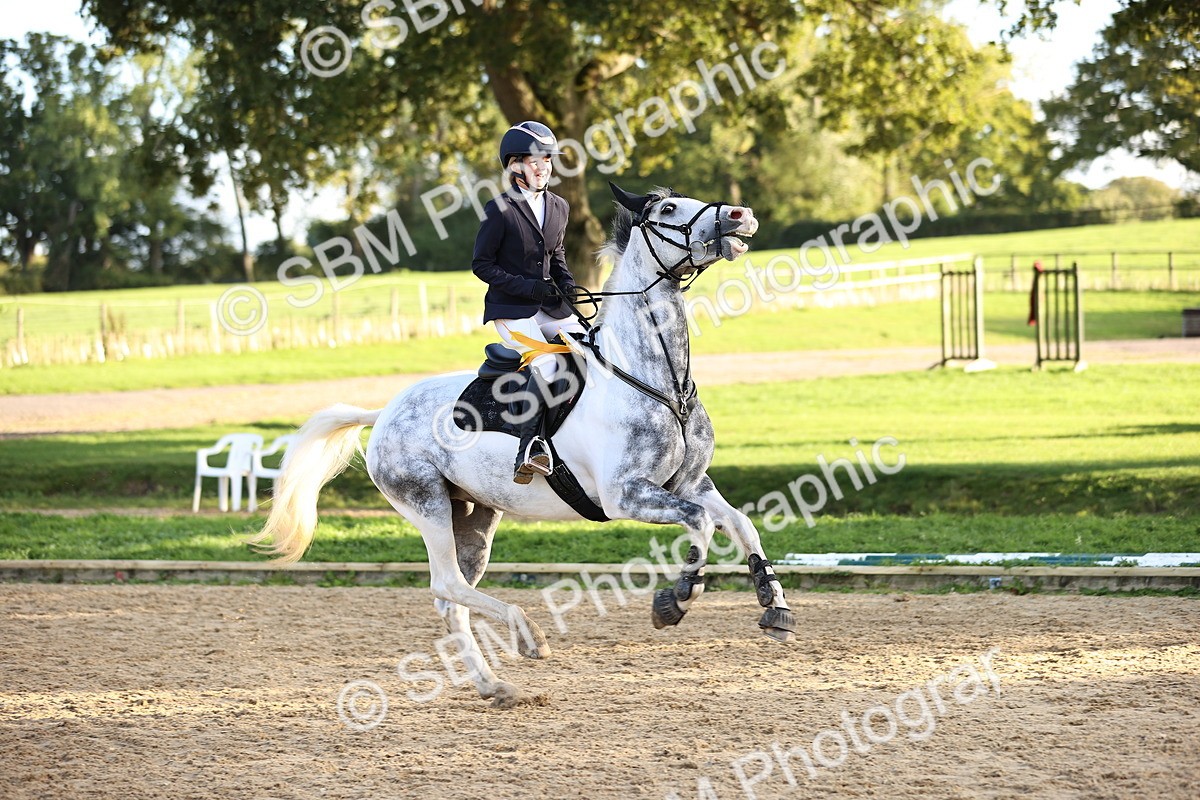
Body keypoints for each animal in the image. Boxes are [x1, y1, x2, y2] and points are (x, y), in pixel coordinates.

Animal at [251, 183, 797, 706]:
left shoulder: (689, 482)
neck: (657, 379)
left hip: (474, 515)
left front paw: (774, 605)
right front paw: (675, 600)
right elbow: (700, 524)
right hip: (425, 502)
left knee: (450, 601)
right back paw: (528, 634)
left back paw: (495, 687)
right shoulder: (626, 496)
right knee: (446, 584)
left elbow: (740, 522)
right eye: (666, 209)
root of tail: (383, 412)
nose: (740, 216)